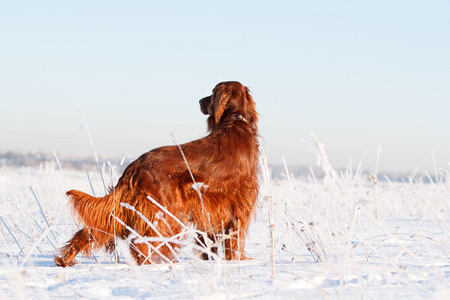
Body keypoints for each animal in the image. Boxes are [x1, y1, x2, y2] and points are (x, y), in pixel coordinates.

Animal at [55, 81, 260, 266]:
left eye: (212, 93)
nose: (200, 100)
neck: (236, 121)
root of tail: (136, 165)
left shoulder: (213, 210)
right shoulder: (239, 205)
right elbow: (234, 241)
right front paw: (238, 260)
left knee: (95, 228)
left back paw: (65, 259)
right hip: (166, 212)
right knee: (141, 241)